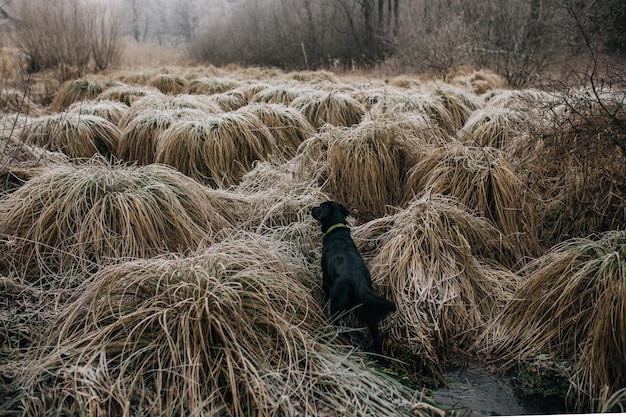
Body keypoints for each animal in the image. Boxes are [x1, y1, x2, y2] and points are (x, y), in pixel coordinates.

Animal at [310, 200, 394, 350]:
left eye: (320, 207)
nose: (311, 209)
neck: (337, 230)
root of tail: (358, 281)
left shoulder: (326, 275)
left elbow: (324, 289)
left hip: (338, 304)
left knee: (338, 323)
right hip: (368, 309)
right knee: (376, 336)